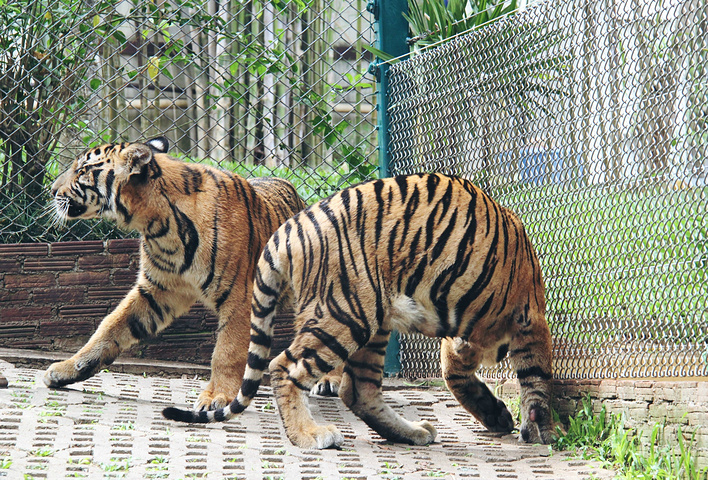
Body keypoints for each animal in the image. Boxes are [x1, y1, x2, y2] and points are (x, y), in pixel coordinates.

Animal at [43, 137, 320, 410]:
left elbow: (227, 351)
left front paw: (216, 396)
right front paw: (66, 369)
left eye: (81, 170)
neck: (158, 226)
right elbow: (110, 326)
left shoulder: (240, 297)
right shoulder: (157, 289)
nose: (52, 190)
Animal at [163, 171, 556, 448]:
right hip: (346, 315)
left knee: (358, 390)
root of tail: (288, 228)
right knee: (284, 367)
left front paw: (496, 415)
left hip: (374, 321)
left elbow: (455, 374)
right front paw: (541, 428)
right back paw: (309, 435)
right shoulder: (530, 314)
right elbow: (535, 375)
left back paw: (411, 433)